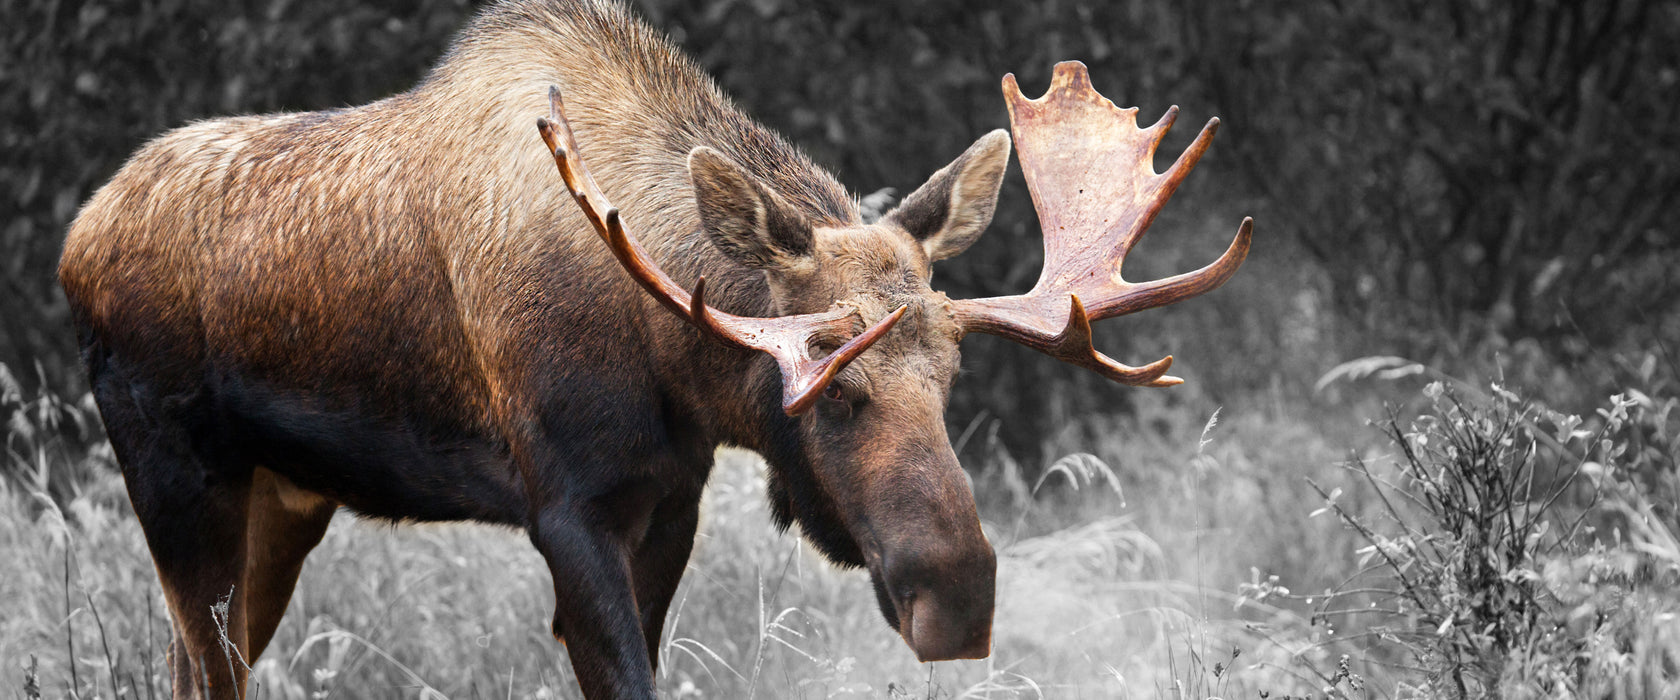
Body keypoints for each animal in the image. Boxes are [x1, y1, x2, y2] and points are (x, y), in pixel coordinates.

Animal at [55, 0, 1249, 691]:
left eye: (949, 379)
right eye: (833, 387)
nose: (956, 595)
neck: (675, 365)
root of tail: (77, 239)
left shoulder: (670, 497)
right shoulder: (565, 507)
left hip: (284, 498)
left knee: (193, 660)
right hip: (177, 476)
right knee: (204, 664)